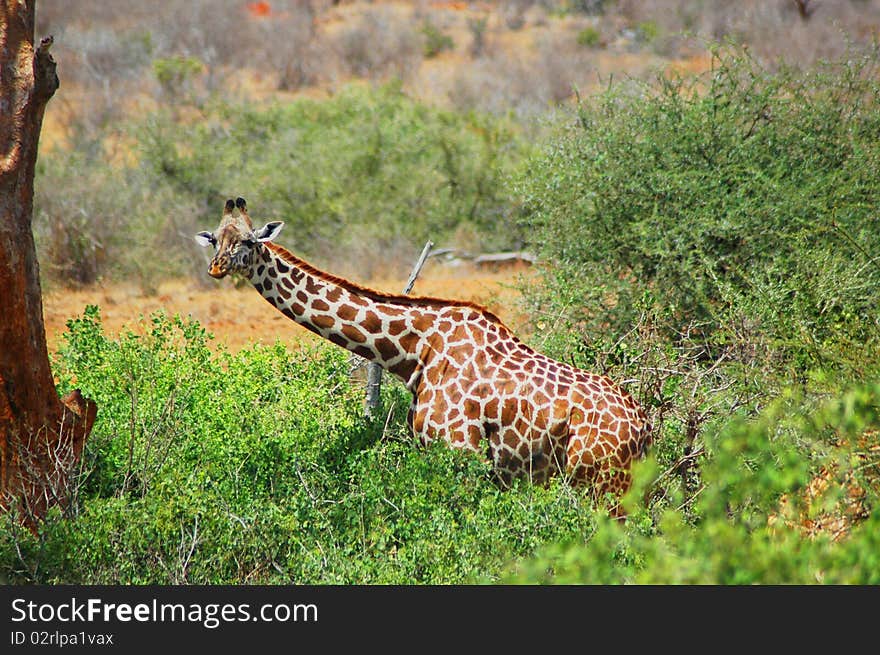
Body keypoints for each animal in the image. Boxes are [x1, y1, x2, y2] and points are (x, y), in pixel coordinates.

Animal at [199, 197, 652, 510]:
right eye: (215, 239)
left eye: (248, 240)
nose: (217, 268)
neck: (416, 351)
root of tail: (646, 428)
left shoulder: (462, 453)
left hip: (604, 484)